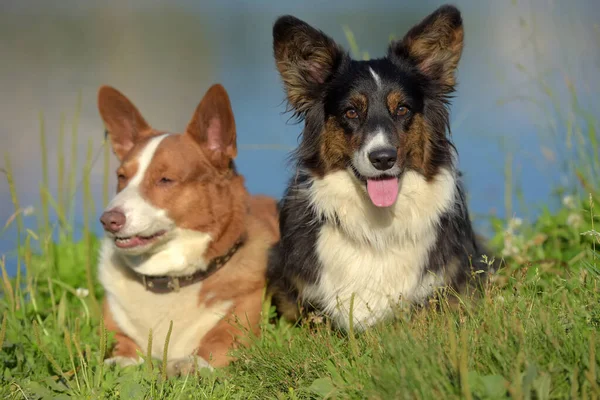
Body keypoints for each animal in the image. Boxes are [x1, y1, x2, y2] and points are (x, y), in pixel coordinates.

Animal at [96, 83, 278, 376]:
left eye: (165, 180)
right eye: (122, 177)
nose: (108, 220)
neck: (169, 278)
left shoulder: (239, 325)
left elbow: (216, 341)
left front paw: (190, 363)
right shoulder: (115, 324)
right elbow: (120, 343)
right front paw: (120, 361)